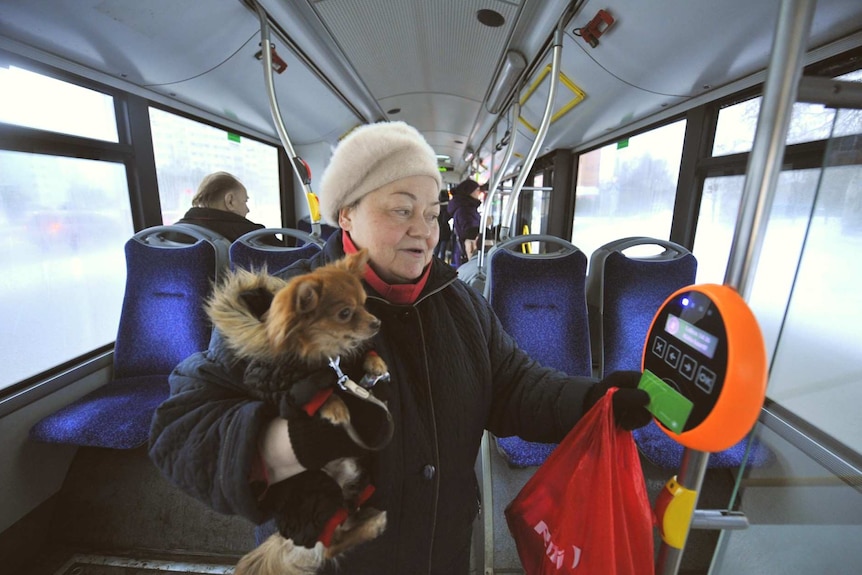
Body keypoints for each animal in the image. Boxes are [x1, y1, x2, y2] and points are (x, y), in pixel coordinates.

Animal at [204, 251, 394, 575]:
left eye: (365, 303)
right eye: (346, 313)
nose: (377, 323)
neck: (324, 355)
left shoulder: (348, 364)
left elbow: (364, 358)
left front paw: (377, 364)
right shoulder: (275, 386)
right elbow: (314, 396)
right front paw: (335, 407)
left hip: (355, 479)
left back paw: (369, 517)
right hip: (318, 493)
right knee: (330, 545)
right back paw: (374, 523)